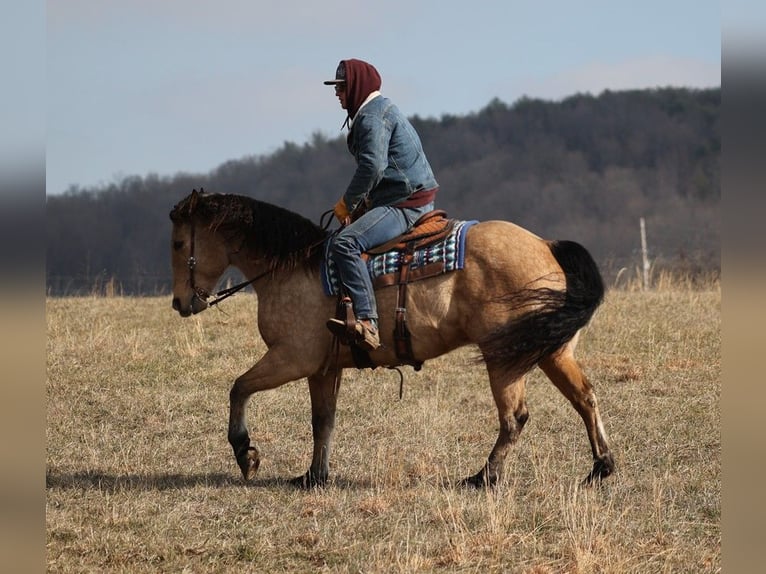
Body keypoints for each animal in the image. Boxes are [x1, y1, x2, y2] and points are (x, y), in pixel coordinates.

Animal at [171, 189, 616, 490]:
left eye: (177, 243)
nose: (179, 303)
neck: (293, 268)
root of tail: (546, 245)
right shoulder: (323, 369)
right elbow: (323, 421)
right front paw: (314, 475)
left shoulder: (292, 358)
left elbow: (239, 388)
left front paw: (245, 453)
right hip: (550, 351)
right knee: (585, 398)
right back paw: (601, 467)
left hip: (503, 358)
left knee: (515, 418)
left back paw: (483, 477)